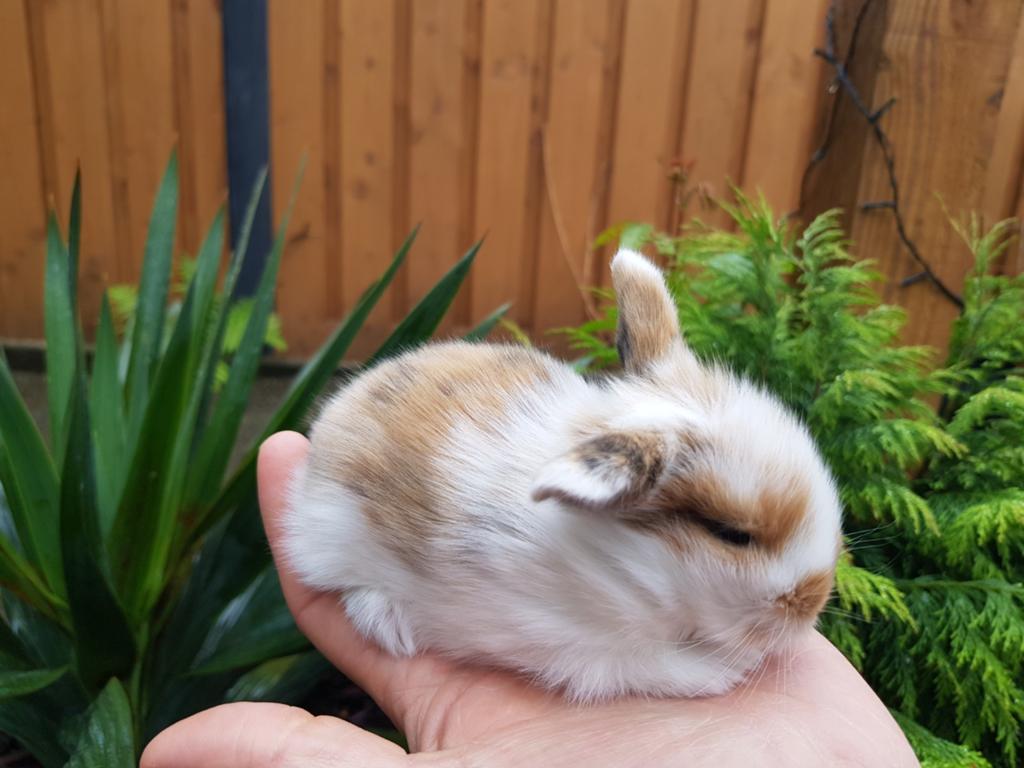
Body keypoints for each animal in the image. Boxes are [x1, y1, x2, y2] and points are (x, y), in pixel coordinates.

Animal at [283, 249, 843, 702]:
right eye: (732, 534)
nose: (814, 602)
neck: (625, 563)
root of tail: (340, 409)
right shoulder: (583, 646)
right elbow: (666, 667)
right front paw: (727, 669)